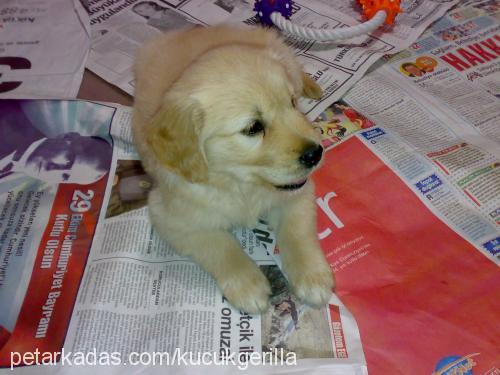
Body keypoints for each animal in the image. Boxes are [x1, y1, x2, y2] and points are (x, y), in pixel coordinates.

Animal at [134, 25, 336, 314]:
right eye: (253, 128)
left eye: (292, 103)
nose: (316, 153)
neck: (240, 184)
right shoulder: (170, 217)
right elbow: (220, 245)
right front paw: (248, 285)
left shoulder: (298, 193)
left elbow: (298, 232)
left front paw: (313, 277)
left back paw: (313, 85)